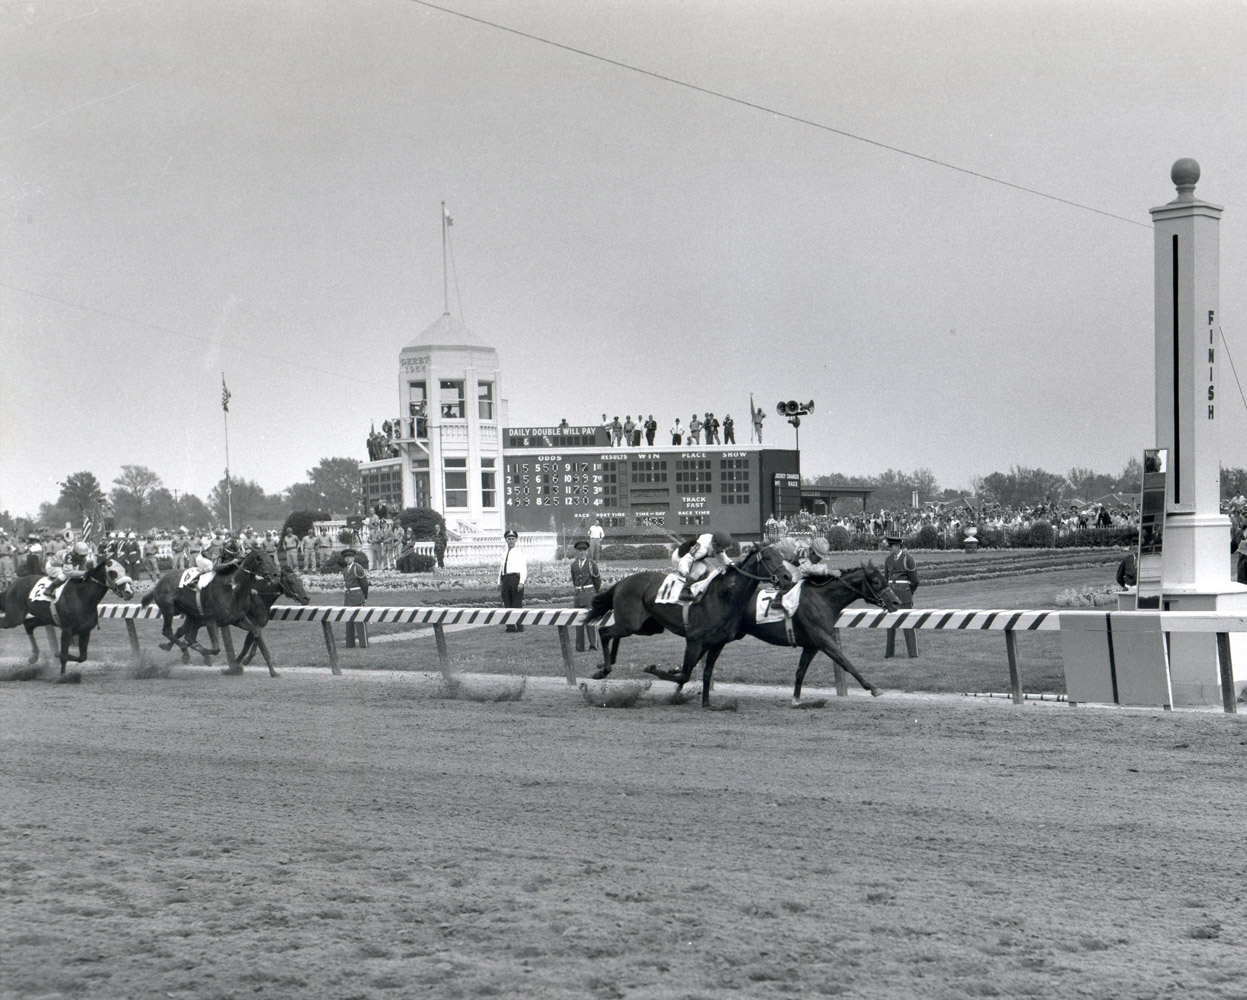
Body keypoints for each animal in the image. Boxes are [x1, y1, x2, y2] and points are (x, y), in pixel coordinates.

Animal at [583, 541, 788, 703]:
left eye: (781, 555)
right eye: (768, 557)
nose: (787, 577)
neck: (724, 596)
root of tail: (622, 581)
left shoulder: (717, 643)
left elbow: (704, 673)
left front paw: (707, 703)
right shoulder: (694, 640)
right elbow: (684, 675)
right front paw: (654, 670)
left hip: (646, 626)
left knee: (615, 633)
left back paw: (608, 662)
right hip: (631, 623)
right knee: (604, 632)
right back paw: (604, 670)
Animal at [728, 556, 902, 703]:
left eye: (885, 579)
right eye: (876, 581)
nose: (896, 602)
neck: (823, 599)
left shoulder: (812, 645)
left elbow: (800, 671)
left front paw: (796, 699)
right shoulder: (822, 639)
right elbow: (845, 662)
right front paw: (873, 688)